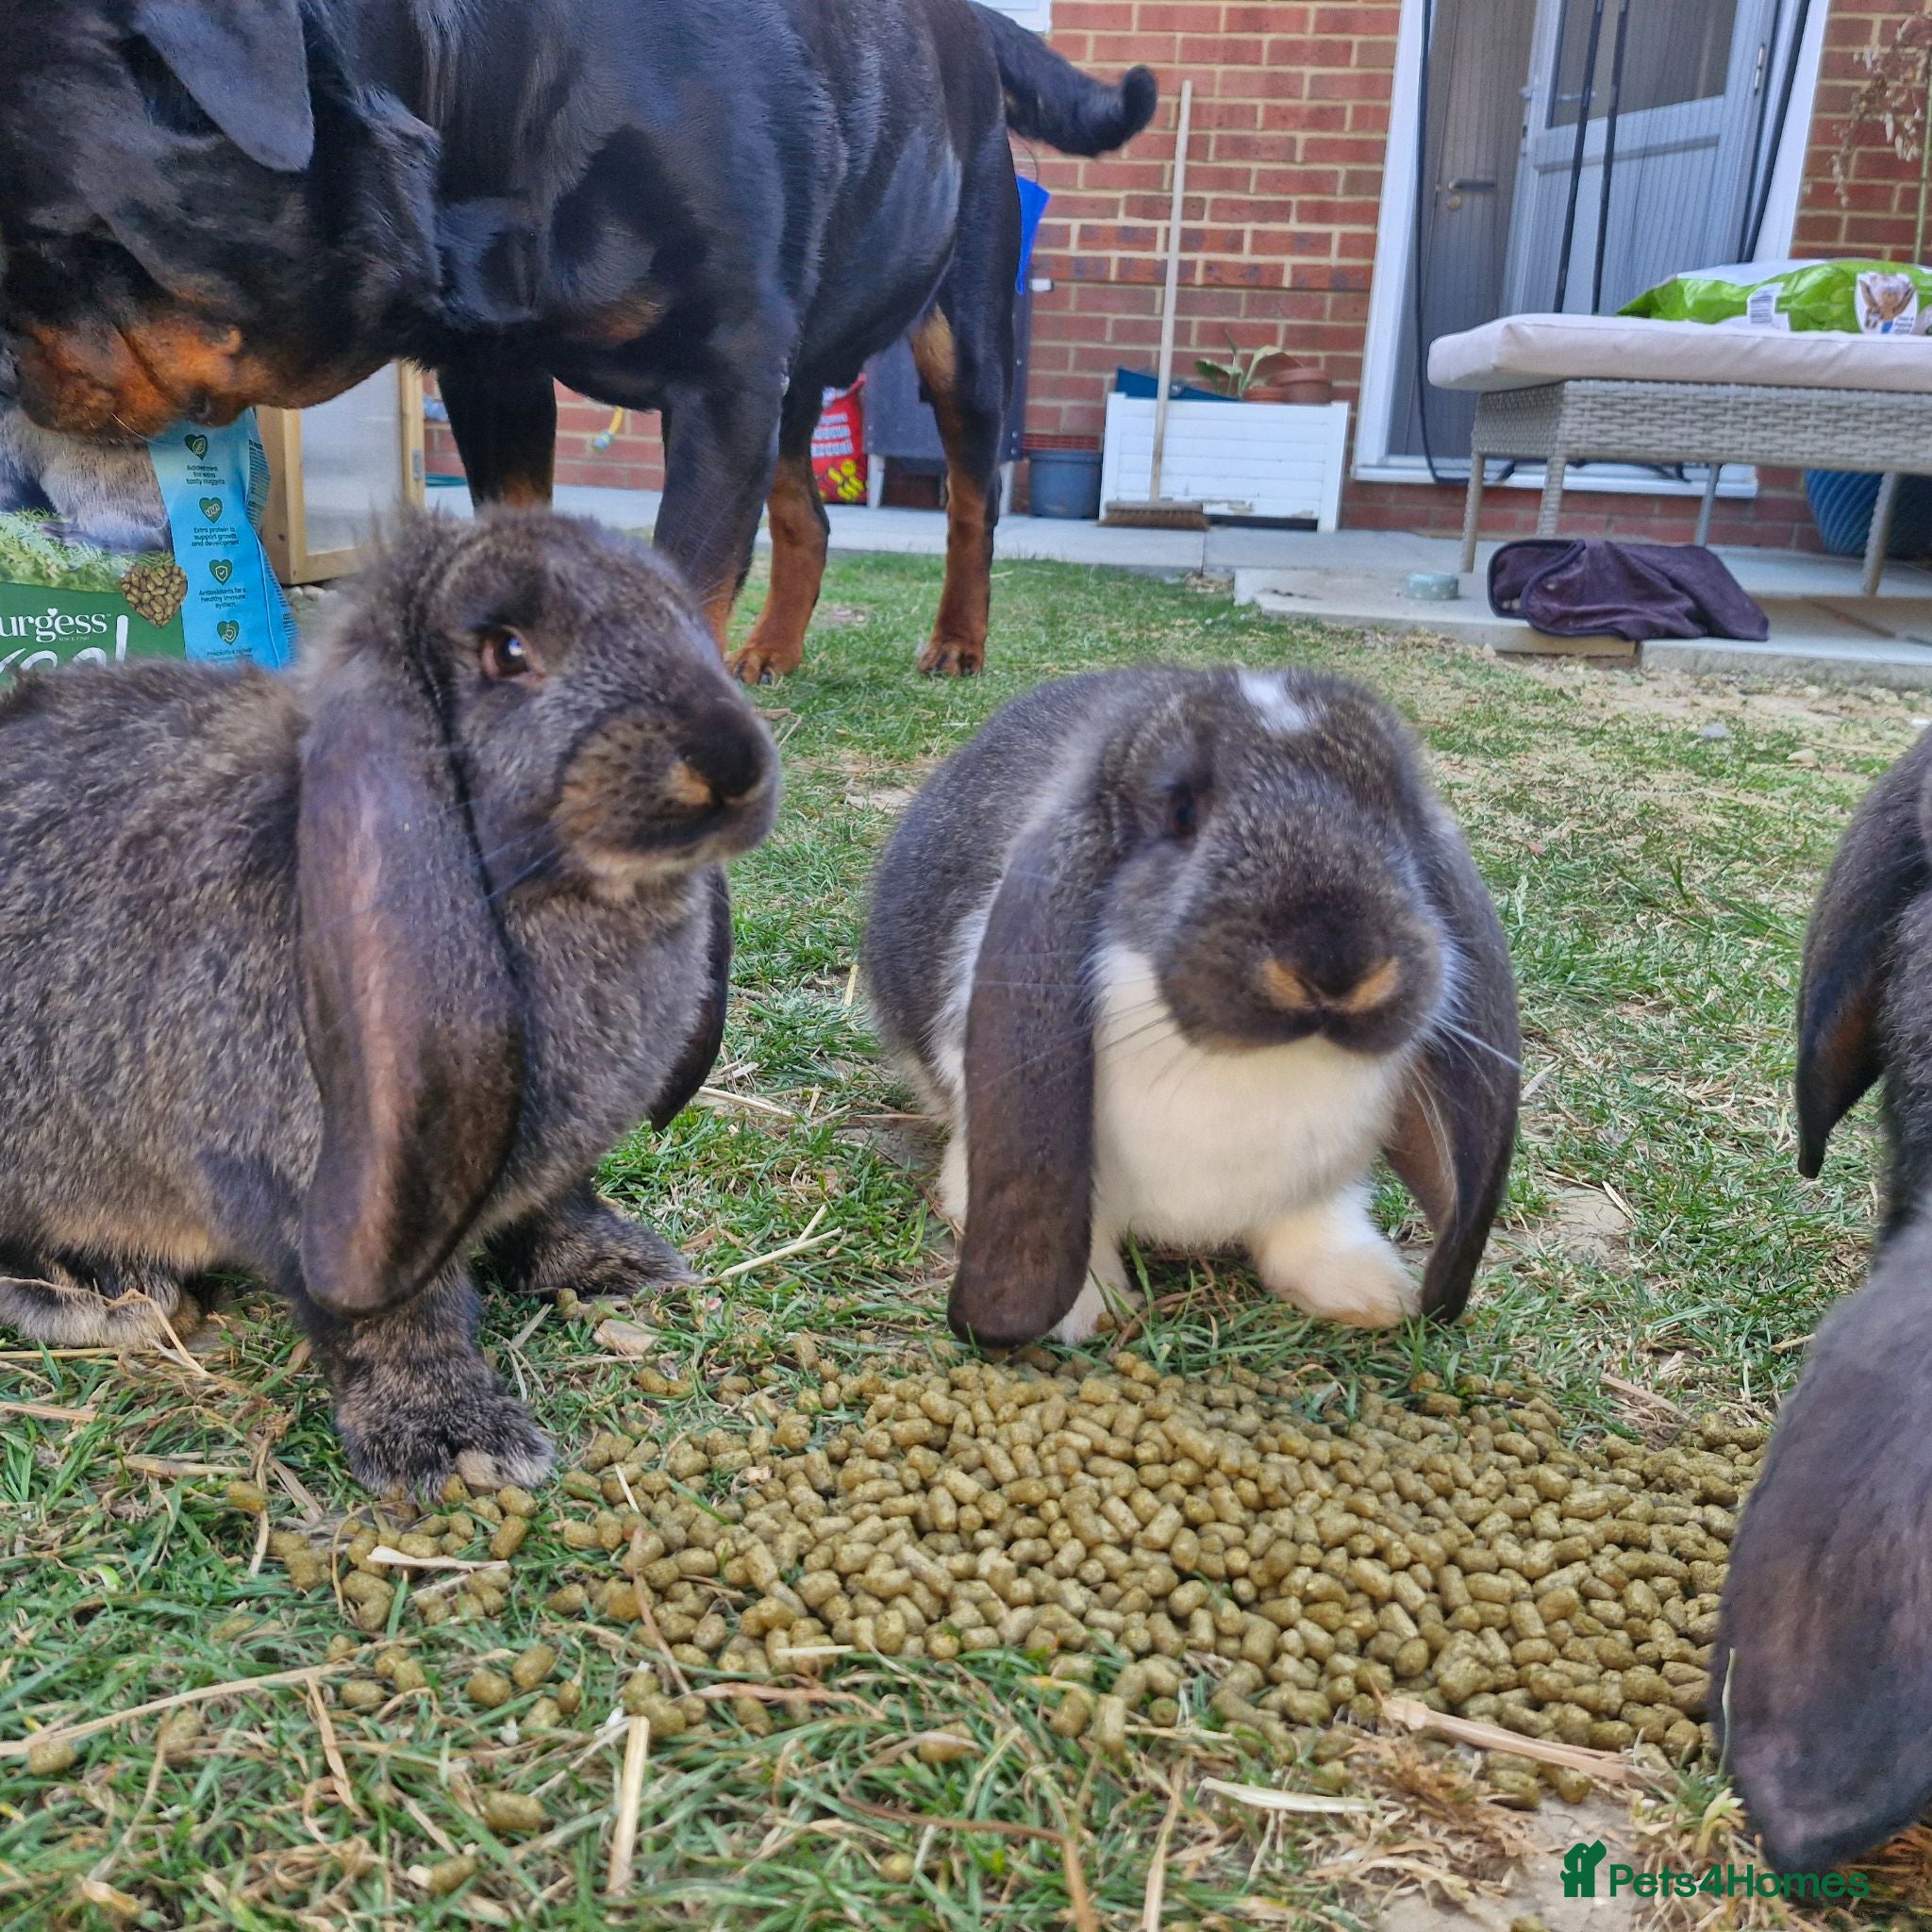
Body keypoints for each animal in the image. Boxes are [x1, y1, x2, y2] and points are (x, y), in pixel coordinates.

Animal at [0, 508, 777, 1496]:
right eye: (507, 650)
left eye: (679, 612)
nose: (732, 763)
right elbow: (394, 1321)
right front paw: (453, 1443)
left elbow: (558, 1201)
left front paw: (615, 1265)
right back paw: (100, 1292)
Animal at [862, 666, 1520, 1348]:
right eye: (1181, 813)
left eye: (1399, 821)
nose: (1338, 968)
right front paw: (1087, 1312)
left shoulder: (1317, 1186)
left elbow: (1310, 1228)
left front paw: (1370, 1293)